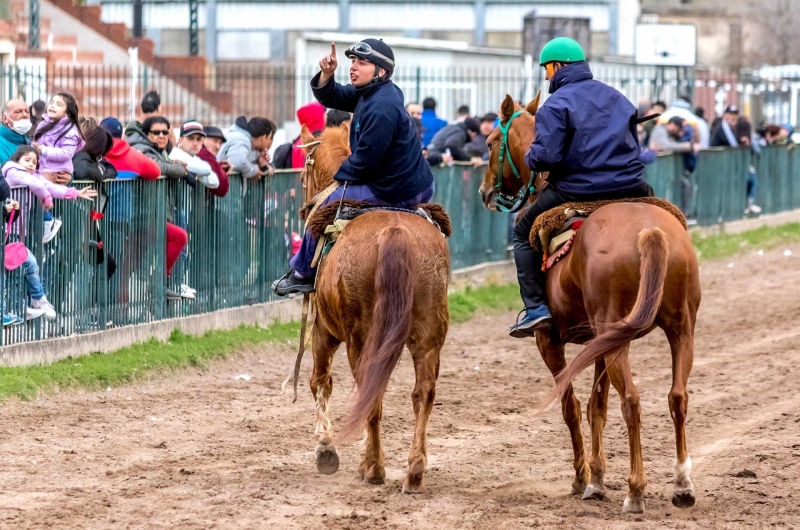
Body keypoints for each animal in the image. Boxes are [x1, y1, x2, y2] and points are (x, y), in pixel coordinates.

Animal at [298, 122, 450, 490]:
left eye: (302, 173)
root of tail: (395, 233)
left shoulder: (323, 330)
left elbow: (320, 382)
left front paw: (327, 449)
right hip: (429, 336)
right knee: (422, 394)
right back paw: (414, 470)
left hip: (361, 340)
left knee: (371, 394)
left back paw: (374, 468)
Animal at [482, 95, 700, 512]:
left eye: (489, 143)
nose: (485, 192)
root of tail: (651, 232)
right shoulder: (600, 342)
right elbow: (596, 405)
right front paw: (597, 479)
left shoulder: (549, 341)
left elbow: (570, 405)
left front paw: (582, 478)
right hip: (677, 329)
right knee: (677, 397)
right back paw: (682, 484)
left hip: (618, 337)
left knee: (632, 400)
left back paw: (636, 491)